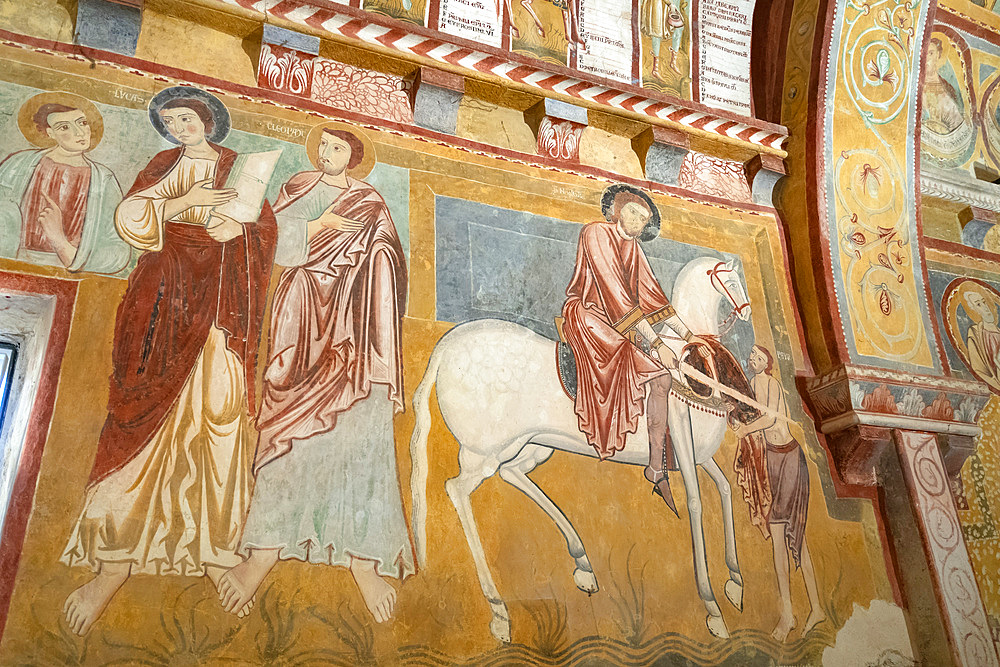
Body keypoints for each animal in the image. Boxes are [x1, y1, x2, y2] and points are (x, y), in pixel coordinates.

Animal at [406, 256, 752, 640]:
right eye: (731, 282)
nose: (747, 311)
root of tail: (447, 346)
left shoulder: (700, 455)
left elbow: (725, 489)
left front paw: (736, 581)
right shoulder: (680, 436)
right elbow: (695, 503)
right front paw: (712, 608)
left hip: (532, 444)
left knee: (511, 473)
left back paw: (582, 562)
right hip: (484, 451)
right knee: (458, 488)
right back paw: (498, 609)